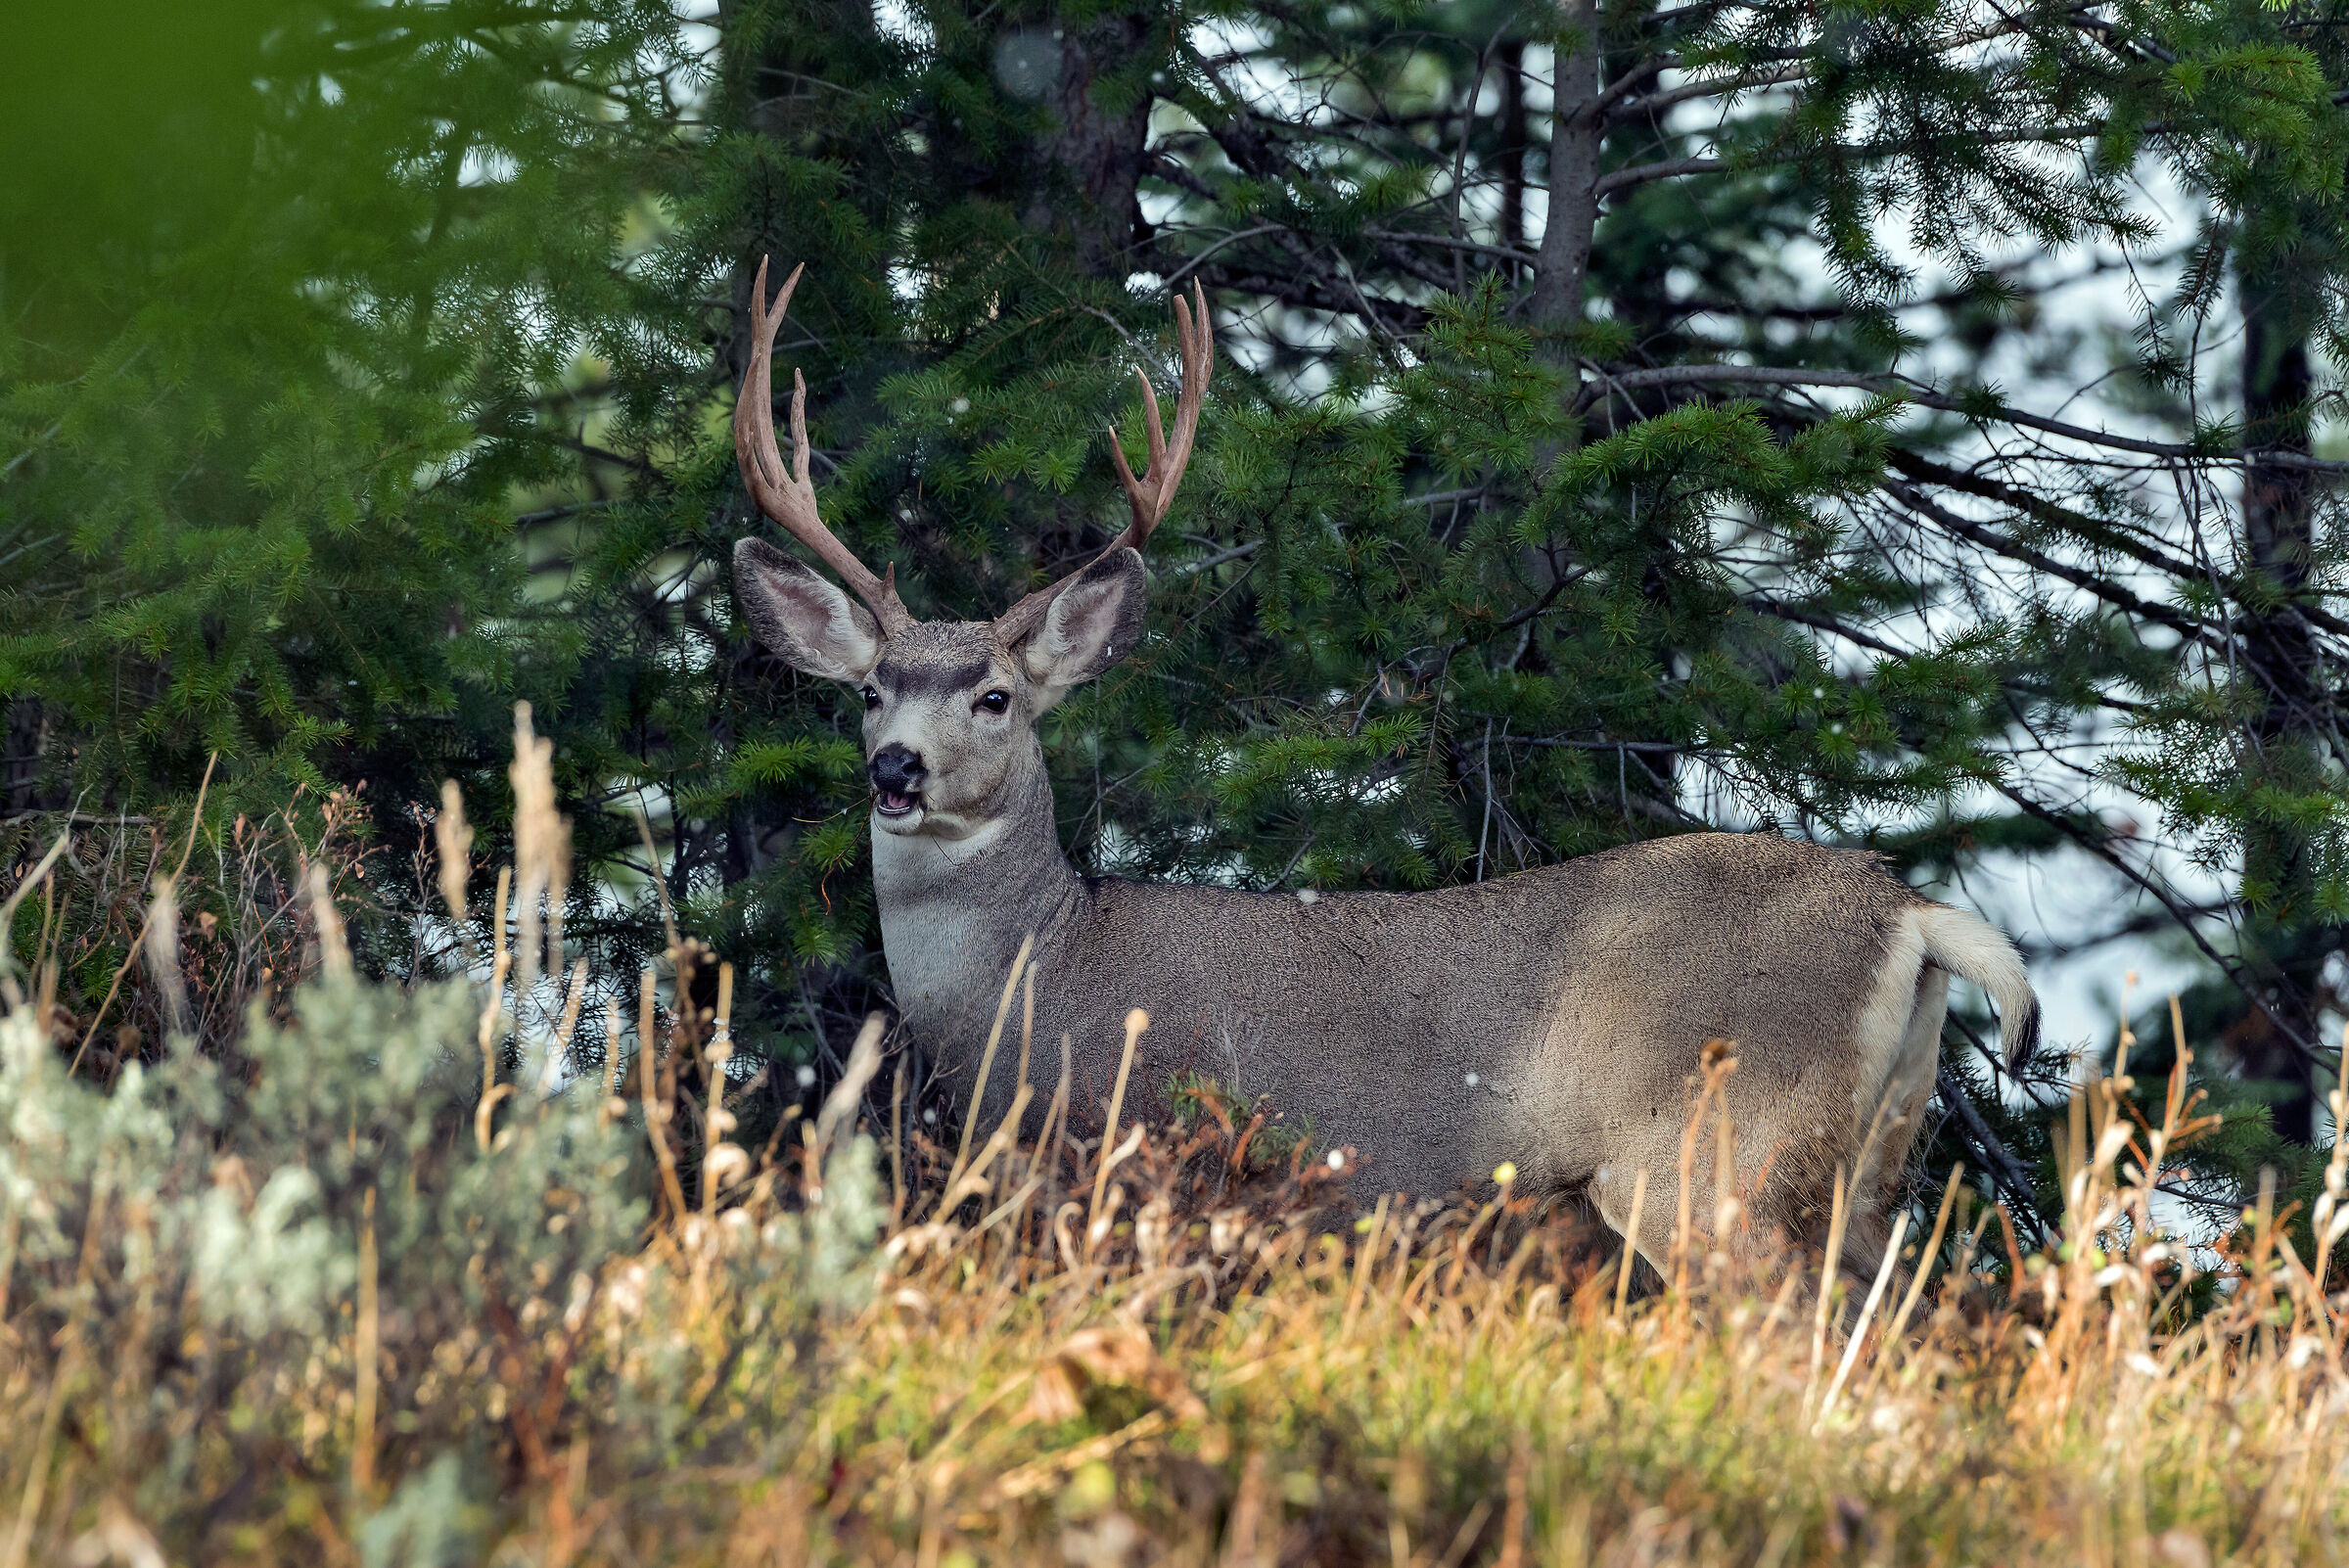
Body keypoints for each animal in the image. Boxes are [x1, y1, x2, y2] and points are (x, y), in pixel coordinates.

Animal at [728, 257, 2040, 1279]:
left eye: (995, 698)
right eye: (868, 692)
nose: (898, 769)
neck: (1044, 974)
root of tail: (1907, 913)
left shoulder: (1162, 1154)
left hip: (1716, 1155)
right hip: (1868, 1169)